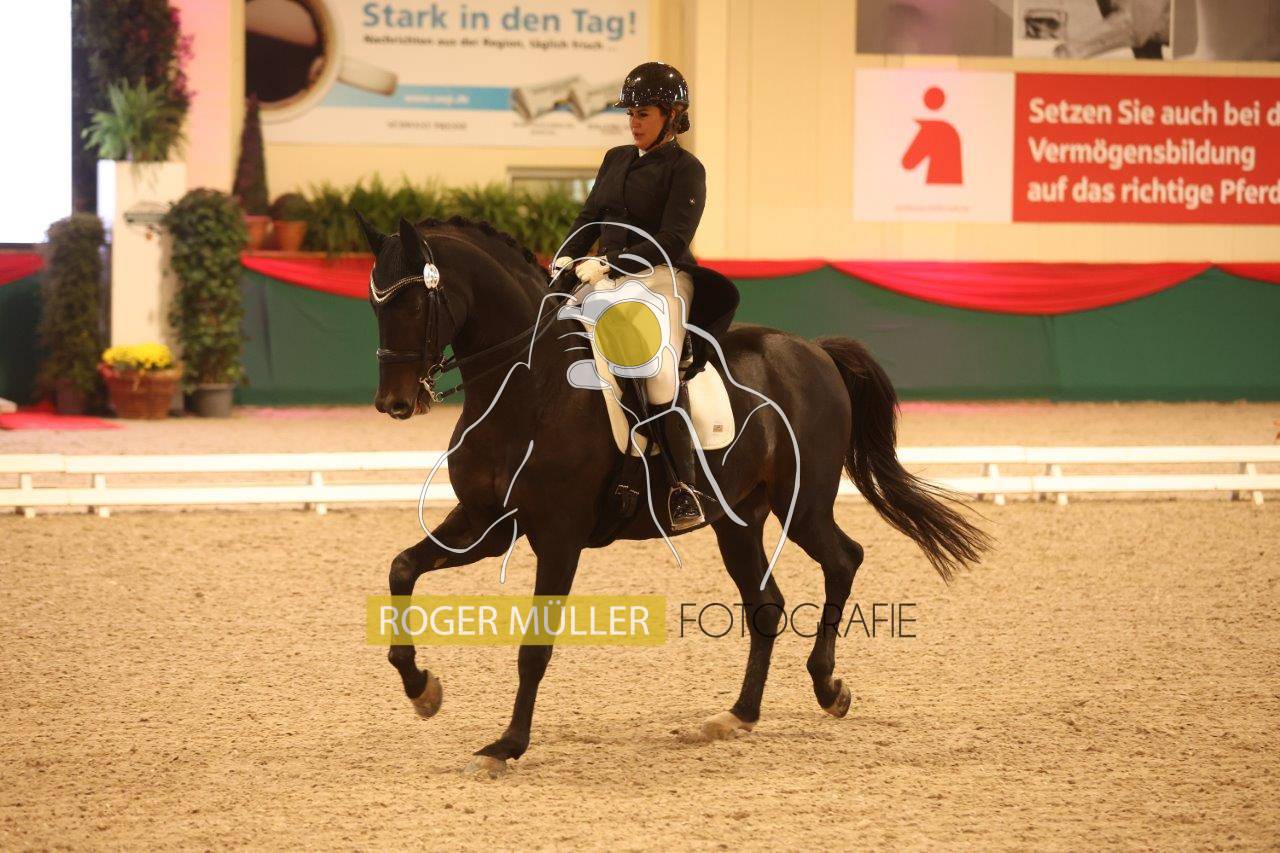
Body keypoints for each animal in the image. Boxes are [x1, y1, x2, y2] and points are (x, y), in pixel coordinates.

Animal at [359, 214, 992, 778]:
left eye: (412, 304)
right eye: (374, 305)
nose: (395, 404)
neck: (528, 388)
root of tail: (813, 350)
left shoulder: (558, 538)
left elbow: (533, 649)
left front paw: (506, 745)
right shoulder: (488, 523)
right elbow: (401, 568)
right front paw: (422, 689)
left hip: (802, 504)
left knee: (843, 559)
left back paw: (828, 687)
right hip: (738, 519)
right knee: (767, 606)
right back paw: (737, 716)